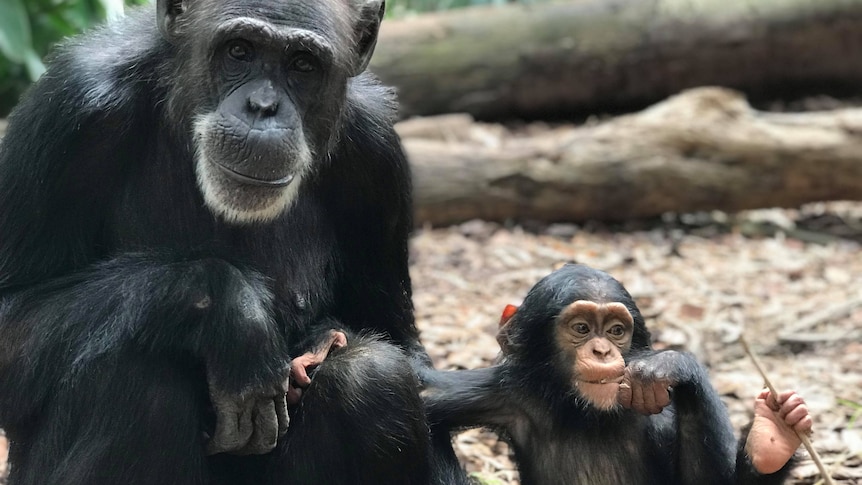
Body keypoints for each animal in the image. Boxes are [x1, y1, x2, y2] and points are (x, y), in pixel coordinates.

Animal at [0, 0, 470, 484]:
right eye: (239, 51)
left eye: (303, 64)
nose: (263, 106)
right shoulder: (70, 111)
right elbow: (11, 318)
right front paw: (234, 310)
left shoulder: (377, 154)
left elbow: (401, 346)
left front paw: (320, 339)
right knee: (136, 369)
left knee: (371, 378)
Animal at [426, 264, 816, 484]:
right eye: (581, 328)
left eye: (616, 331)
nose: (602, 351)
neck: (586, 414)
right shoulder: (506, 394)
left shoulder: (658, 414)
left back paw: (774, 434)